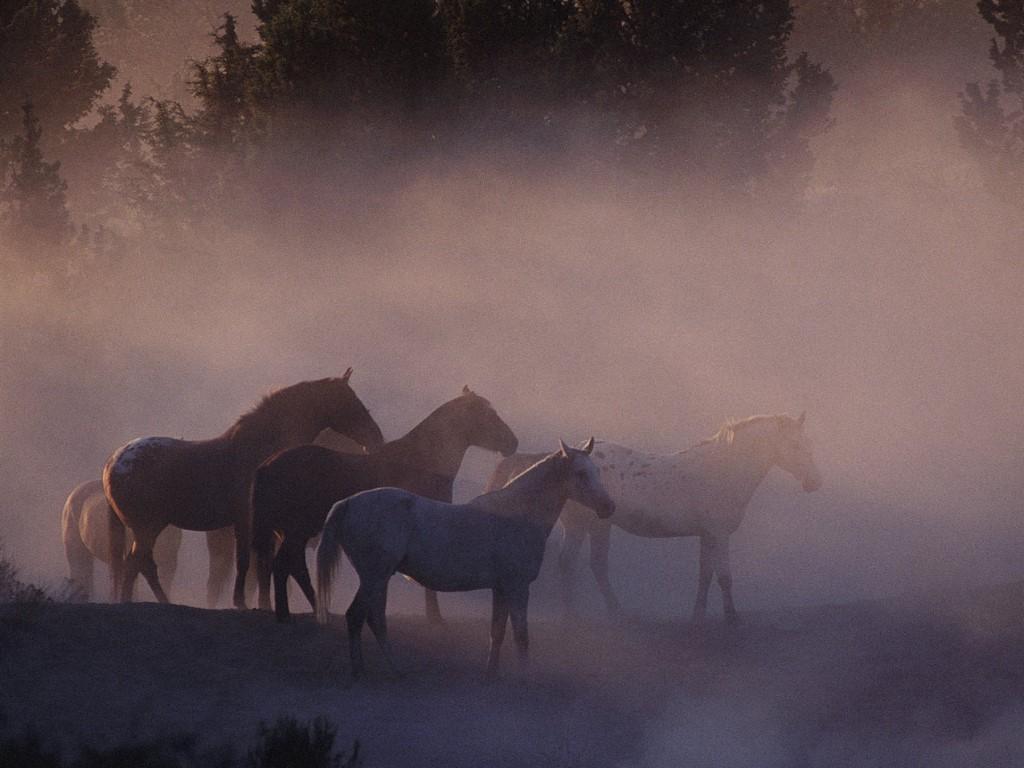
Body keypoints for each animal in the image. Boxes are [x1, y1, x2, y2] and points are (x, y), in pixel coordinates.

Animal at [103, 370, 385, 610]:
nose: (376, 438)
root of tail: (114, 462)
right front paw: (246, 602)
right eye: (350, 402)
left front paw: (260, 603)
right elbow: (250, 561)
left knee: (140, 563)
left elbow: (260, 563)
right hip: (147, 526)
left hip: (150, 527)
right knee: (139, 562)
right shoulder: (249, 521)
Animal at [251, 387, 516, 622]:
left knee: (294, 566)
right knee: (284, 566)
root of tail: (267, 465)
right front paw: (435, 618)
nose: (512, 443)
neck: (421, 462)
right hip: (298, 530)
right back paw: (286, 614)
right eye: (488, 415)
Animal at [315, 438, 610, 679]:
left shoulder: (501, 588)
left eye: (598, 472)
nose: (609, 507)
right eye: (581, 473)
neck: (516, 515)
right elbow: (521, 636)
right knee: (359, 617)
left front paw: (491, 675)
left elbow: (497, 633)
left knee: (370, 619)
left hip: (377, 579)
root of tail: (348, 503)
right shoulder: (517, 587)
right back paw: (373, 670)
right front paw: (526, 677)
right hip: (374, 577)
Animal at [485, 415, 823, 626]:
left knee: (596, 565)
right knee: (568, 562)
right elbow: (724, 576)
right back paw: (574, 617)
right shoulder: (719, 534)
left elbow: (705, 574)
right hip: (581, 526)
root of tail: (563, 458)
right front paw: (732, 617)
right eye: (795, 445)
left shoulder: (707, 535)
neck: (722, 469)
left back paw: (617, 613)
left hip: (601, 524)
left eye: (810, 444)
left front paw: (698, 616)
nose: (814, 483)